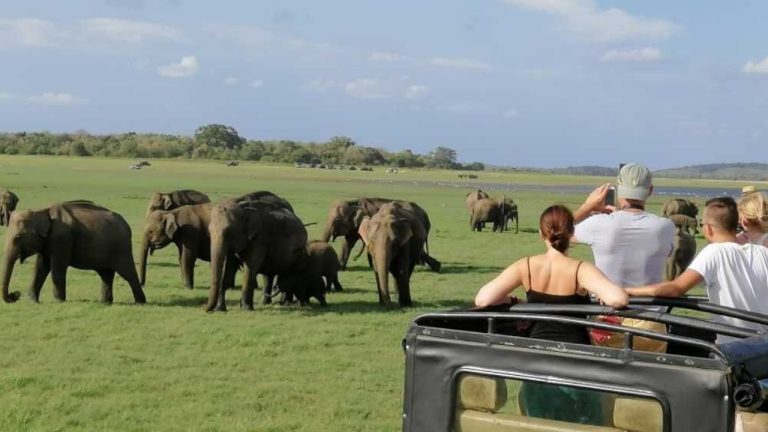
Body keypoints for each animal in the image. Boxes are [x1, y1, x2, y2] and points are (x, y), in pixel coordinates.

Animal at [1, 200, 146, 304]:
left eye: (18, 237)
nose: (15, 295)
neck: (42, 211)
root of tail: (127, 226)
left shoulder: (61, 239)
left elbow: (57, 268)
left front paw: (59, 301)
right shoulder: (47, 242)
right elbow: (40, 268)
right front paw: (33, 301)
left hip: (122, 249)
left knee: (128, 274)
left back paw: (140, 303)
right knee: (106, 275)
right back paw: (105, 302)